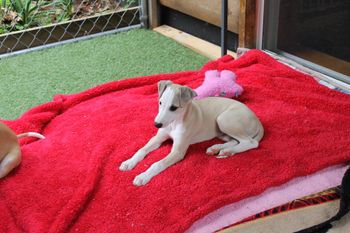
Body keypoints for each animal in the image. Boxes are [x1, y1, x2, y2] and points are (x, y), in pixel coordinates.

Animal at [119, 80, 262, 186]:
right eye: (160, 103)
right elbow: (142, 150)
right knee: (235, 141)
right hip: (223, 130)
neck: (174, 123)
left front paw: (143, 176)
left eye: (173, 108)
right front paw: (129, 162)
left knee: (251, 142)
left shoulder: (178, 152)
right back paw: (219, 149)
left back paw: (227, 151)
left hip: (224, 119)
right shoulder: (157, 138)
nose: (156, 124)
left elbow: (157, 163)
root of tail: (257, 119)